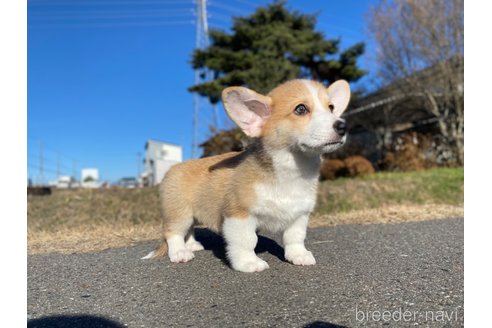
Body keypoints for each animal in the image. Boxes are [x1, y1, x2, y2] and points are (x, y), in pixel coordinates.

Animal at [142, 79, 350, 272]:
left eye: (331, 108)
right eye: (301, 109)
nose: (343, 126)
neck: (291, 170)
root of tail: (172, 169)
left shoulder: (299, 214)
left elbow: (295, 237)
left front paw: (299, 256)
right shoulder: (239, 213)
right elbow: (246, 240)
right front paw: (249, 263)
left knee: (190, 230)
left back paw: (192, 245)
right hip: (179, 212)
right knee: (173, 232)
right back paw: (180, 252)